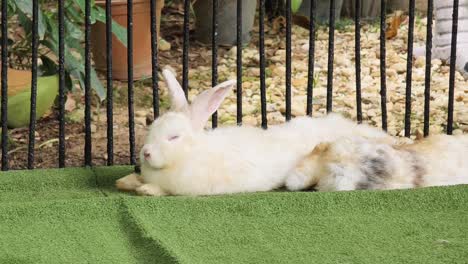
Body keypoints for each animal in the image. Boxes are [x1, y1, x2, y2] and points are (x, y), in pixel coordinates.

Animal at [115, 66, 394, 196]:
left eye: (173, 137)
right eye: (152, 128)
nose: (146, 153)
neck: (190, 155)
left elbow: (164, 190)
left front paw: (146, 190)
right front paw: (125, 181)